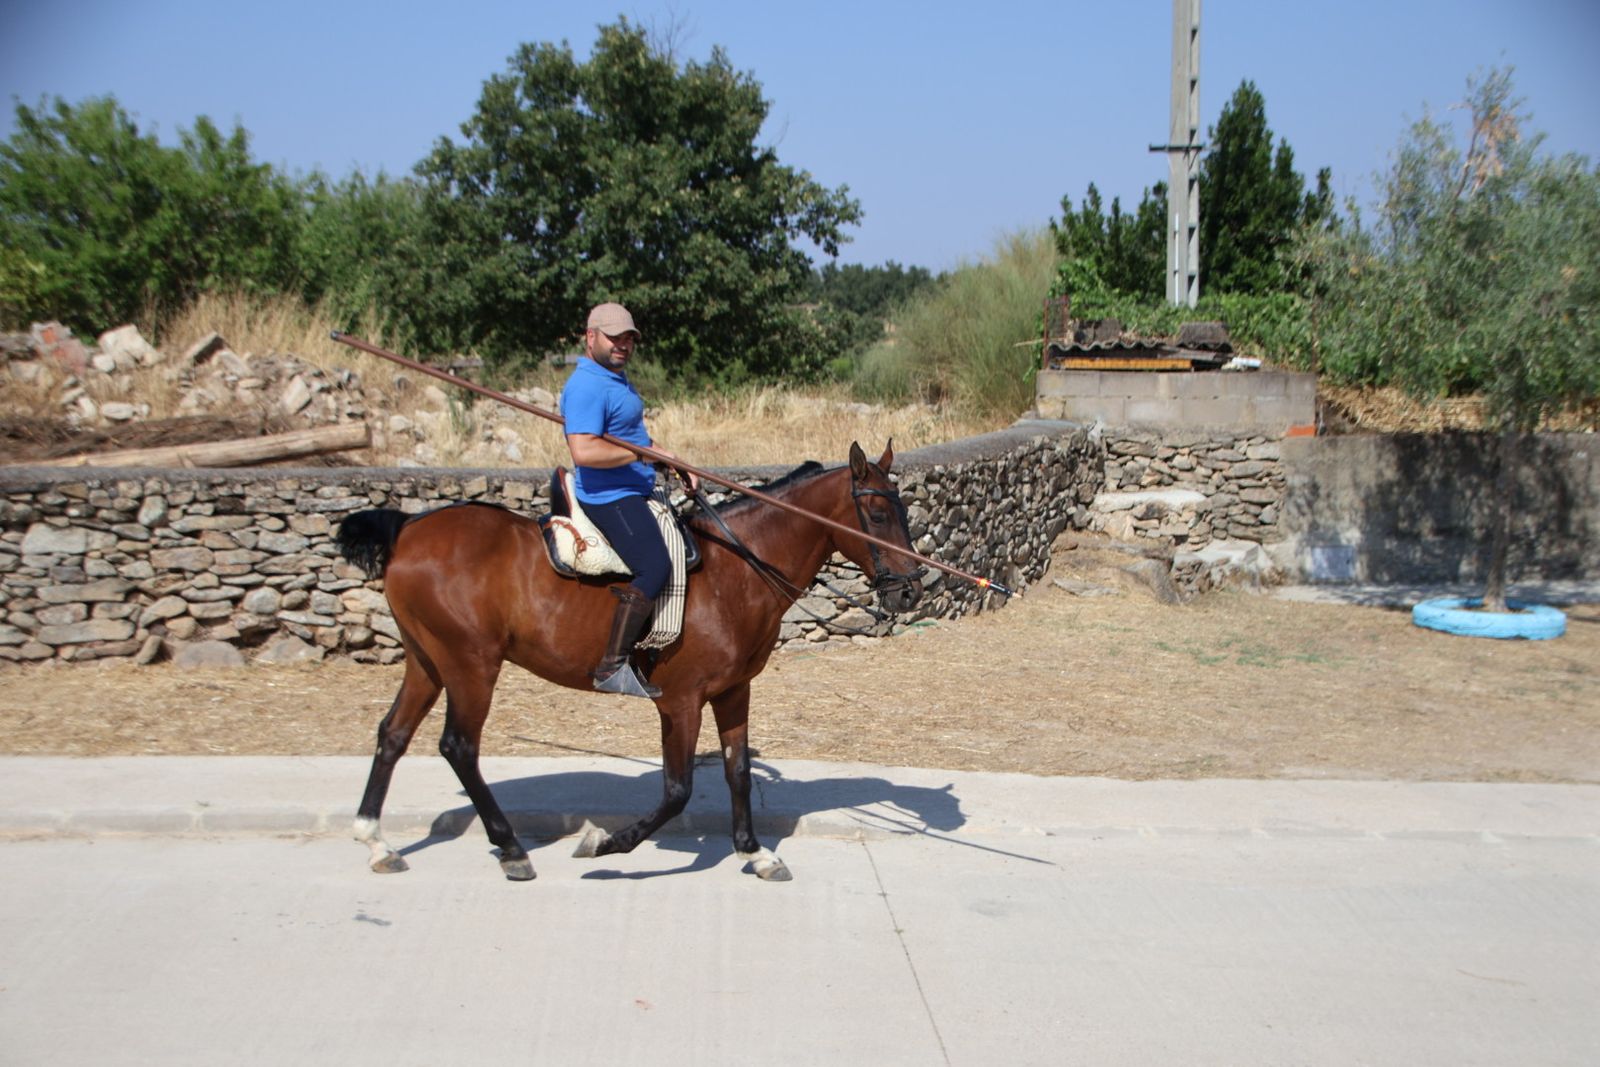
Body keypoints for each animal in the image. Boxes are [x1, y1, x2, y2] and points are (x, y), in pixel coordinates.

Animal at [334, 442, 923, 882]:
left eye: (903, 510)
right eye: (875, 513)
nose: (910, 591)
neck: (736, 569)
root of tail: (409, 529)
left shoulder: (734, 690)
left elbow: (736, 771)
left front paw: (755, 852)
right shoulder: (682, 701)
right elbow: (677, 791)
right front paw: (604, 844)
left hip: (427, 661)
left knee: (393, 734)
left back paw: (375, 840)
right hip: (470, 665)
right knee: (458, 746)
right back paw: (511, 849)